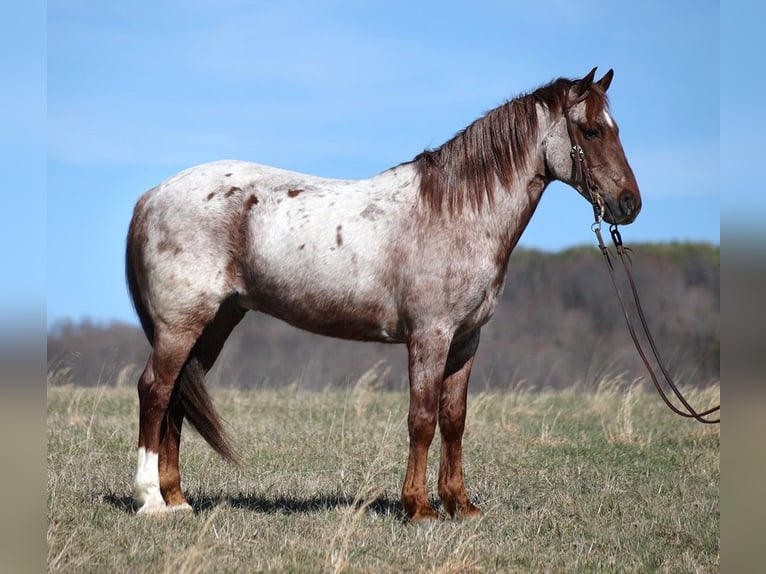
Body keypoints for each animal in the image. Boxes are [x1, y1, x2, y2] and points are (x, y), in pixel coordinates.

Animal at [127, 66, 640, 520]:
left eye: (616, 129)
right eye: (591, 131)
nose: (629, 204)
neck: (456, 212)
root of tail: (151, 196)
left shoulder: (466, 340)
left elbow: (454, 420)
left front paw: (460, 505)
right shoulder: (429, 337)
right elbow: (422, 419)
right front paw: (419, 508)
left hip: (214, 325)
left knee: (177, 397)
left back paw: (178, 501)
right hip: (181, 325)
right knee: (155, 390)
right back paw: (151, 501)